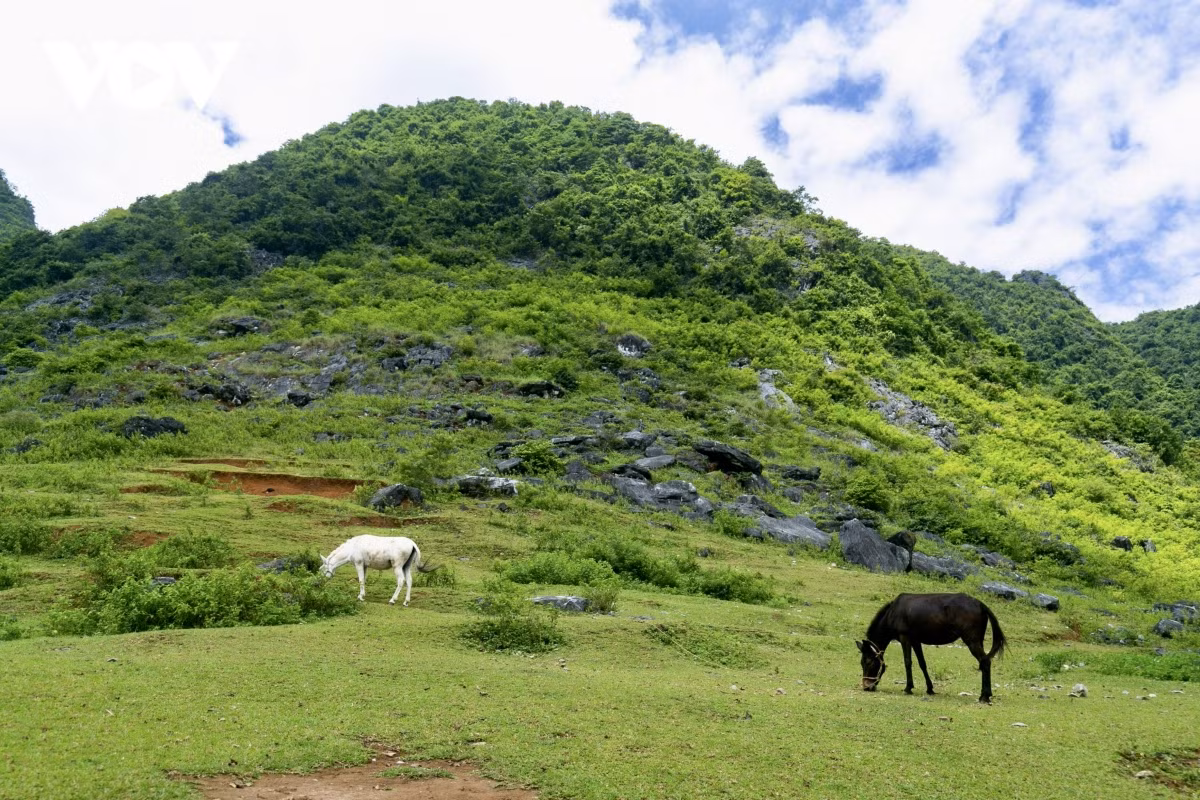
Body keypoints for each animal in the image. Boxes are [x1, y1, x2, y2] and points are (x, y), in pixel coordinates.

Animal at [856, 592, 1007, 703]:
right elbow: (922, 663)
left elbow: (907, 662)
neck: (892, 613)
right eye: (861, 663)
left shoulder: (905, 638)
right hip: (978, 641)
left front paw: (908, 688)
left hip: (972, 641)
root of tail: (980, 604)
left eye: (868, 662)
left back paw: (984, 696)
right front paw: (929, 688)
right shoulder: (916, 641)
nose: (866, 686)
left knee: (985, 661)